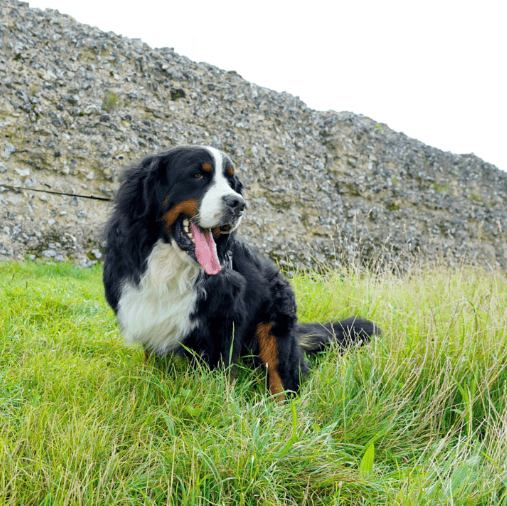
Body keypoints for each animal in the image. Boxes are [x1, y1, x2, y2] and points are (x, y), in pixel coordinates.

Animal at [103, 144, 380, 398]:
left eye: (231, 182)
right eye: (197, 175)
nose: (238, 203)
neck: (171, 266)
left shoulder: (225, 320)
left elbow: (221, 374)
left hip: (274, 329)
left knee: (282, 379)